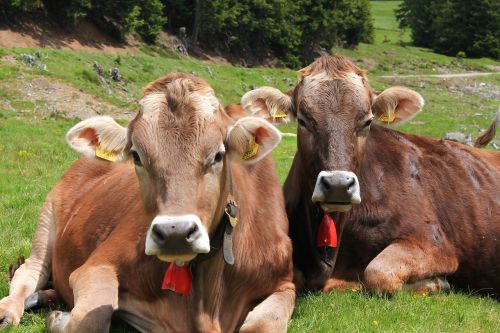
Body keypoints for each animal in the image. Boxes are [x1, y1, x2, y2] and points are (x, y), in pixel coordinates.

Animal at [0, 71, 294, 330]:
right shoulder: (96, 265)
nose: (175, 233)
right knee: (29, 271)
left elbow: (263, 324)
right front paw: (59, 319)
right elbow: (91, 319)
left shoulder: (285, 283)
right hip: (47, 218)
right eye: (136, 156)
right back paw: (10, 309)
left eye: (218, 155)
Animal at [240, 55, 498, 296]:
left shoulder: (433, 242)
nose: (338, 185)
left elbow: (377, 272)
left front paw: (435, 283)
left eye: (367, 122)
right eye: (303, 121)